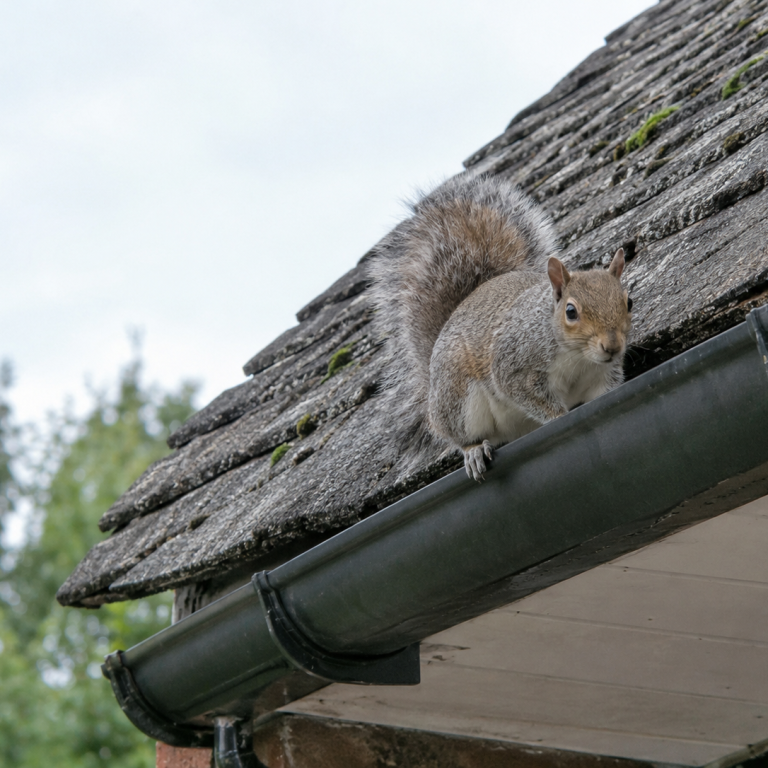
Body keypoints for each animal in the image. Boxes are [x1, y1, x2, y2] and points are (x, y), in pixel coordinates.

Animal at [368, 173, 632, 481]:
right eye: (571, 312)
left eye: (629, 302)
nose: (612, 347)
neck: (578, 358)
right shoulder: (514, 364)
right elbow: (523, 392)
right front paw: (558, 416)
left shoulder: (601, 378)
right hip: (457, 397)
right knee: (458, 433)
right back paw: (473, 451)